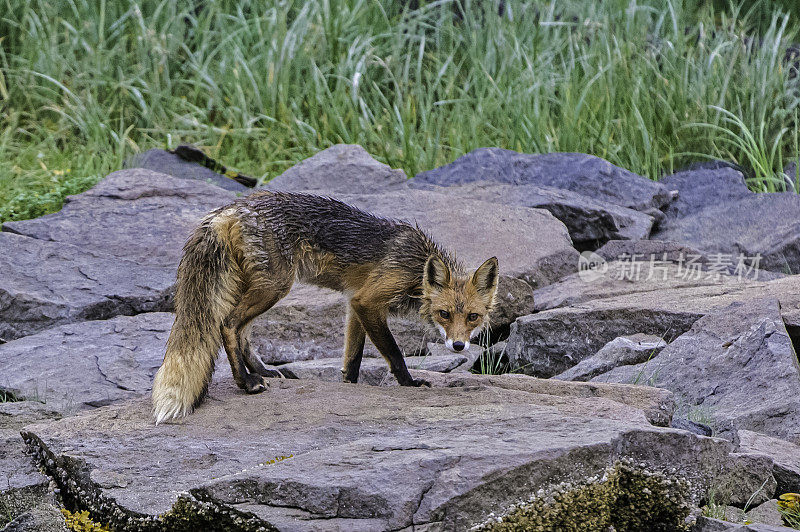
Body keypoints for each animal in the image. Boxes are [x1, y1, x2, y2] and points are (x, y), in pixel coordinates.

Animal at [152, 191, 496, 424]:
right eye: (444, 314)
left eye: (473, 317)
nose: (458, 345)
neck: (415, 267)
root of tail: (229, 209)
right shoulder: (368, 301)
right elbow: (394, 353)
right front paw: (409, 383)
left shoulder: (355, 304)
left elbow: (353, 360)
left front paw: (349, 388)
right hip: (275, 287)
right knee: (227, 324)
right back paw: (246, 382)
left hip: (260, 289)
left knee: (242, 332)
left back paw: (263, 371)